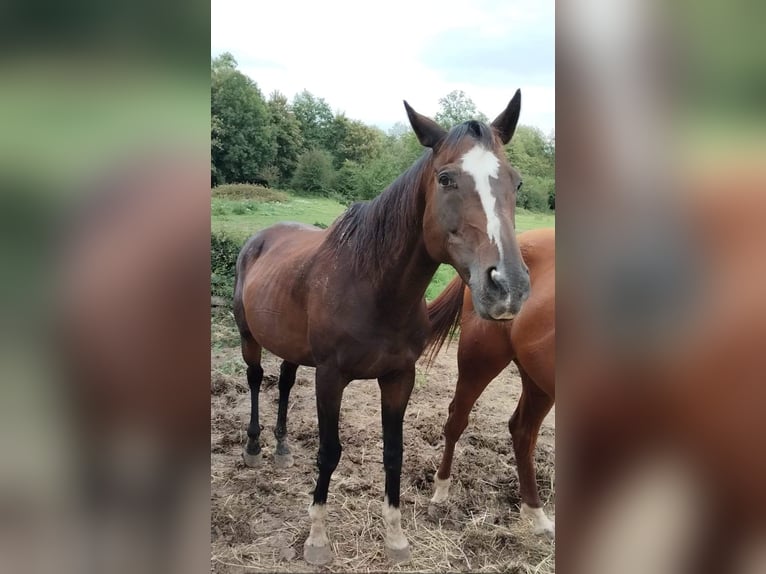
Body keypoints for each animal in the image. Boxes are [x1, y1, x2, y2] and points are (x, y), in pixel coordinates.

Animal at [236, 93, 536, 568]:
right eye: (446, 178)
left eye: (516, 182)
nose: (508, 286)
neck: (373, 287)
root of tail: (259, 238)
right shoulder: (331, 377)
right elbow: (329, 451)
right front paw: (317, 539)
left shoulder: (399, 377)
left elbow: (393, 453)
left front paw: (395, 538)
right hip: (249, 336)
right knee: (254, 379)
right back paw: (253, 448)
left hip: (291, 348)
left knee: (282, 382)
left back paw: (282, 449)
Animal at [426, 230, 560, 540]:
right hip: (480, 359)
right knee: (456, 420)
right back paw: (441, 492)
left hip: (536, 378)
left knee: (523, 432)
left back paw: (537, 516)